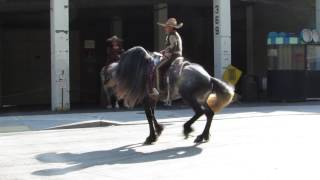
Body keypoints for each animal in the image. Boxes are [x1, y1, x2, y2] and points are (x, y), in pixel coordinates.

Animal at [104, 46, 234, 145]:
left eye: (119, 60)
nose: (106, 75)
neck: (144, 71)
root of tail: (209, 78)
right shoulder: (152, 99)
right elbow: (152, 114)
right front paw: (158, 131)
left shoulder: (146, 99)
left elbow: (149, 116)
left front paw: (151, 137)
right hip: (201, 99)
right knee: (209, 113)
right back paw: (203, 136)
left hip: (189, 97)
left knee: (201, 112)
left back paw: (188, 128)